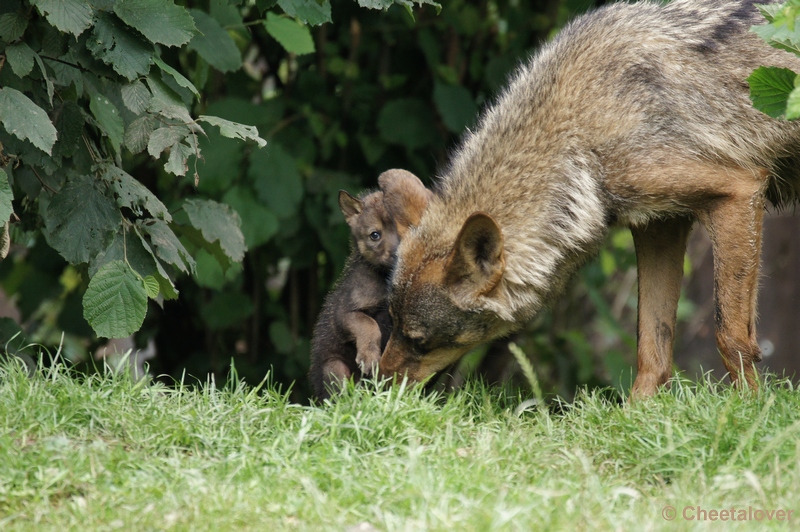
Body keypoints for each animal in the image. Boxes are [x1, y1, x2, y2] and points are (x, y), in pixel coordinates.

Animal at [378, 0, 800, 396]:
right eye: (392, 323)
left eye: (419, 342)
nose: (374, 386)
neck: (578, 131)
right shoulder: (659, 226)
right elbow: (652, 349)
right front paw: (637, 416)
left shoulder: (739, 189)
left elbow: (731, 337)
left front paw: (748, 412)